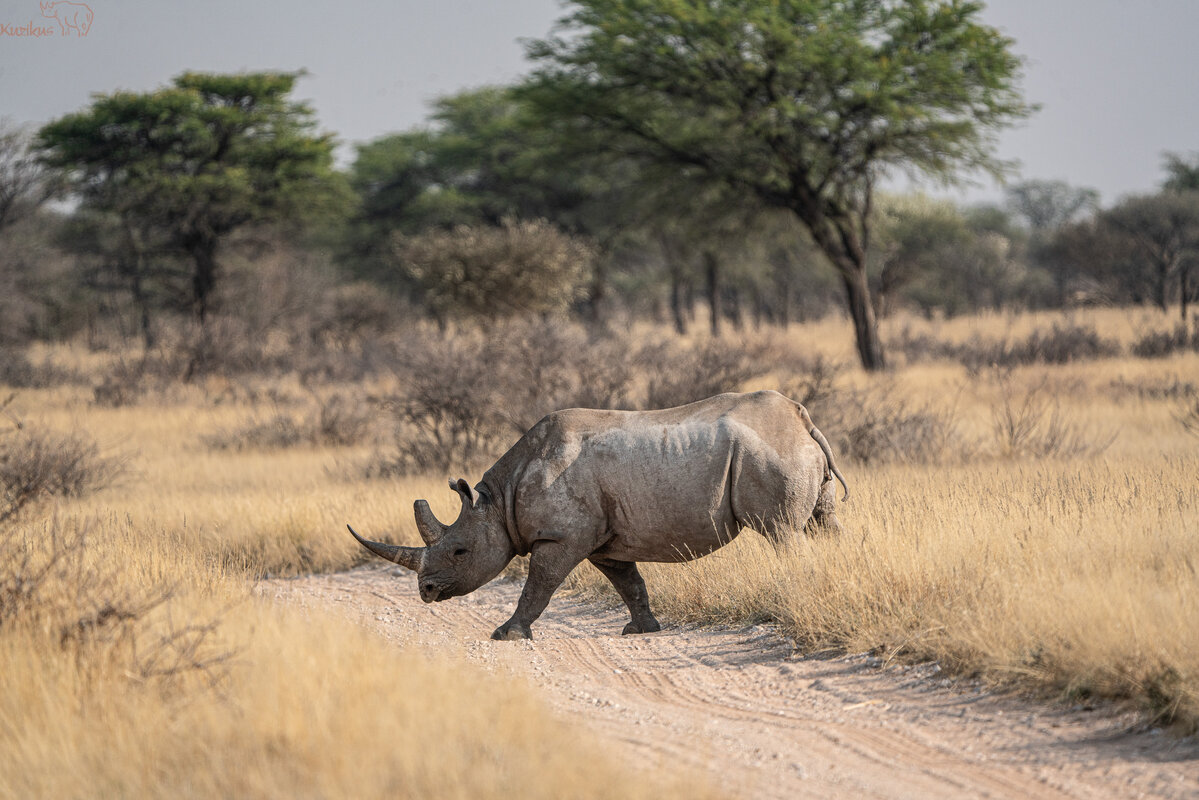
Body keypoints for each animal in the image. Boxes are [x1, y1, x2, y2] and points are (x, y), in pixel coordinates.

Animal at [348, 390, 847, 640]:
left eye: (458, 551)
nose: (426, 592)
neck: (498, 502)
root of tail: (802, 420)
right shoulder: (602, 539)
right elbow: (629, 582)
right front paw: (641, 630)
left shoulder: (562, 537)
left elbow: (540, 585)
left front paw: (506, 635)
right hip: (784, 450)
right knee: (822, 524)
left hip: (767, 454)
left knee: (782, 532)